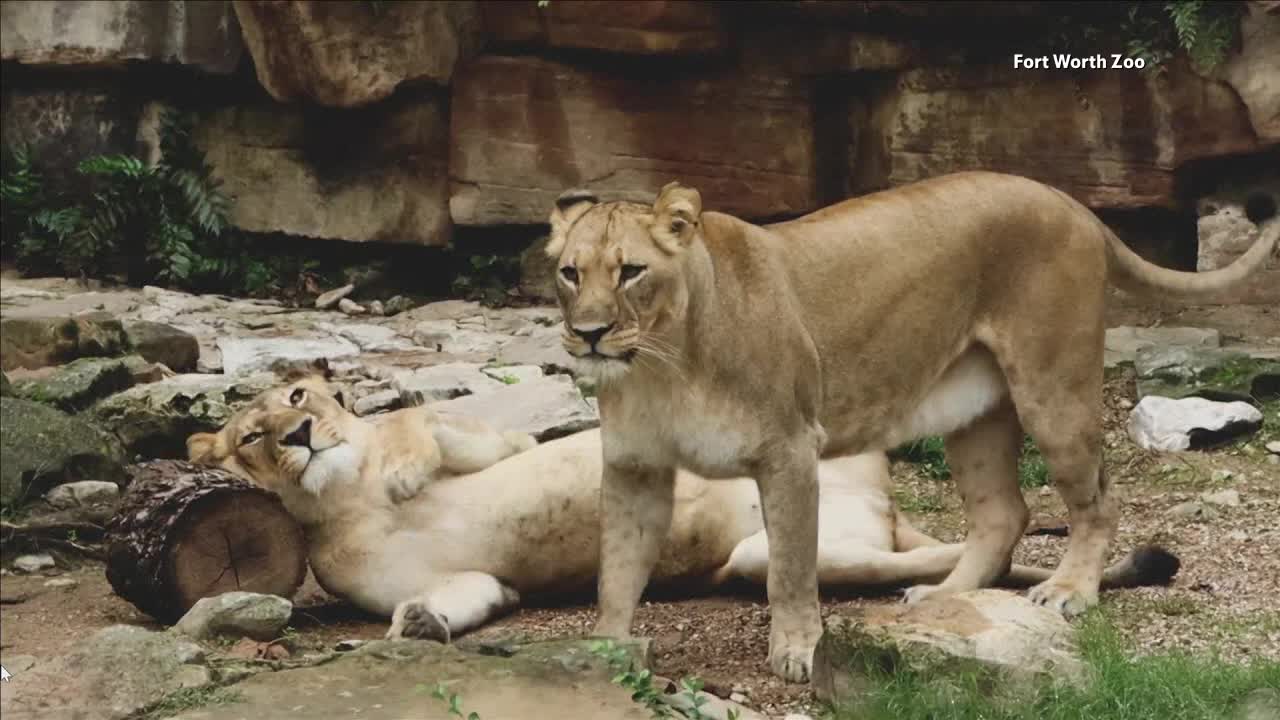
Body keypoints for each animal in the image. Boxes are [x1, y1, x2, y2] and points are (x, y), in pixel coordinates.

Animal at [187, 373, 1179, 644]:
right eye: (253, 435)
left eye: (298, 395)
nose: (303, 431)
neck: (336, 501)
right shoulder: (478, 578)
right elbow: (468, 596)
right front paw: (424, 624)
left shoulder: (473, 433)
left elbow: (437, 433)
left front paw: (401, 472)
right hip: (771, 553)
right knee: (923, 551)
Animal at [545, 171, 1275, 680]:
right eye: (570, 273)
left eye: (631, 272)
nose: (589, 334)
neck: (662, 365)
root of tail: (1073, 205)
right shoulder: (636, 467)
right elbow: (618, 568)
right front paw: (605, 652)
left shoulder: (789, 451)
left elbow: (790, 567)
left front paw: (798, 651)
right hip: (976, 414)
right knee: (1003, 514)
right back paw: (938, 600)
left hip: (1054, 390)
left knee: (1098, 500)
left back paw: (1068, 593)